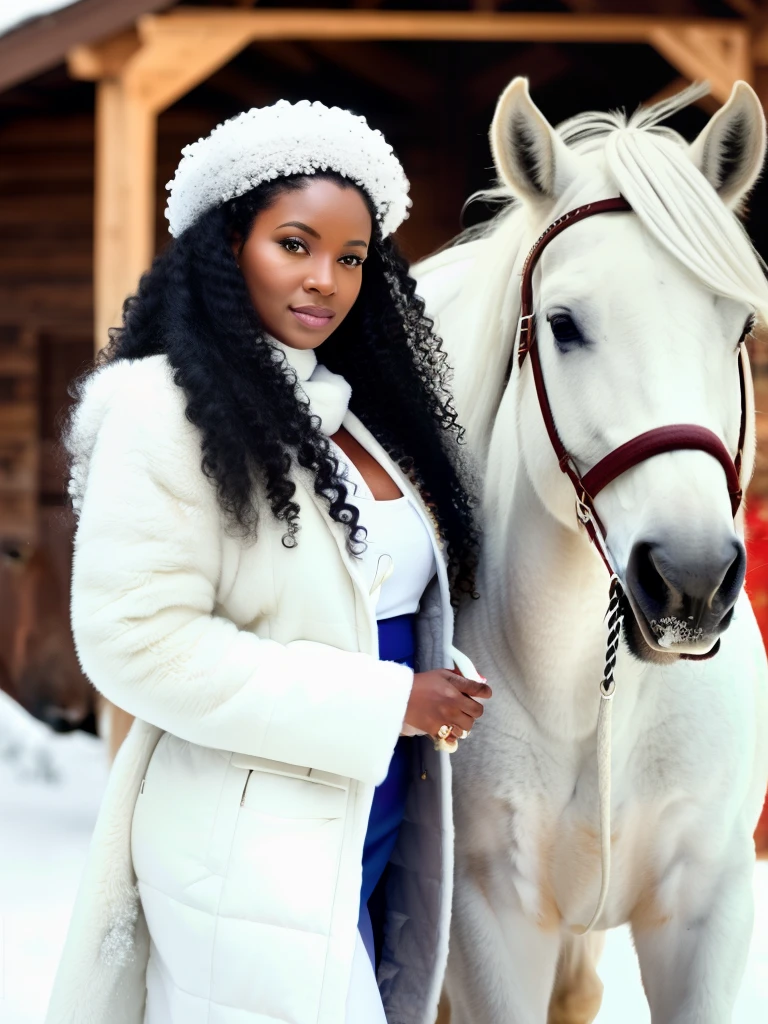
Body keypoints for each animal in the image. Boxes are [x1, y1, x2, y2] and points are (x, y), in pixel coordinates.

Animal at [421, 79, 768, 1024]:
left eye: (736, 327)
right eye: (564, 324)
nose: (690, 581)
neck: (590, 696)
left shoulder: (707, 907)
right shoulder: (489, 921)